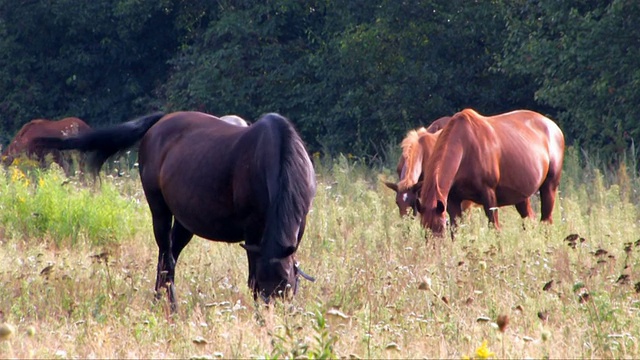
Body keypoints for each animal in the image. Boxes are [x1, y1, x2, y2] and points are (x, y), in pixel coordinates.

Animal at [33, 111, 316, 310]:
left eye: (287, 286)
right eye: (265, 290)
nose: (273, 316)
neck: (278, 157)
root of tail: (160, 122)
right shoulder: (252, 231)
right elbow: (250, 276)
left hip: (184, 221)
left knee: (170, 254)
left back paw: (159, 301)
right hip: (159, 209)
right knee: (165, 256)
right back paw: (170, 306)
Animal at [408, 108, 564, 236]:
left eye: (440, 227)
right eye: (424, 229)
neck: (465, 148)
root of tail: (554, 127)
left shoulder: (489, 196)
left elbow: (495, 229)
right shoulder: (453, 201)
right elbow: (456, 232)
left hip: (549, 188)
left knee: (546, 222)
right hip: (521, 197)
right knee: (530, 221)